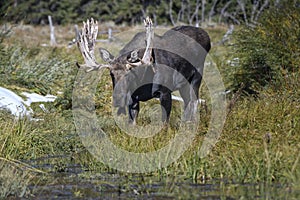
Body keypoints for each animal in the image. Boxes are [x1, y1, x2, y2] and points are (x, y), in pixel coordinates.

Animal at [76, 17, 210, 123]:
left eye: (129, 72)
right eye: (111, 73)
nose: (118, 99)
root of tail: (206, 35)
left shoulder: (165, 91)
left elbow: (164, 123)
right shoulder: (133, 98)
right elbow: (131, 124)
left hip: (197, 74)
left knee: (194, 100)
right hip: (184, 84)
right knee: (187, 101)